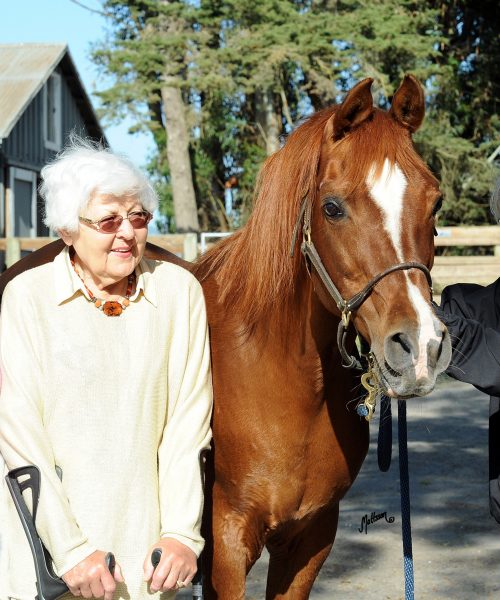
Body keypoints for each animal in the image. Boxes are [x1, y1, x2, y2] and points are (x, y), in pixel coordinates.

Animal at [0, 75, 454, 600]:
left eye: (435, 202)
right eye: (333, 207)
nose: (421, 347)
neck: (285, 378)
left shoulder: (311, 537)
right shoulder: (225, 544)